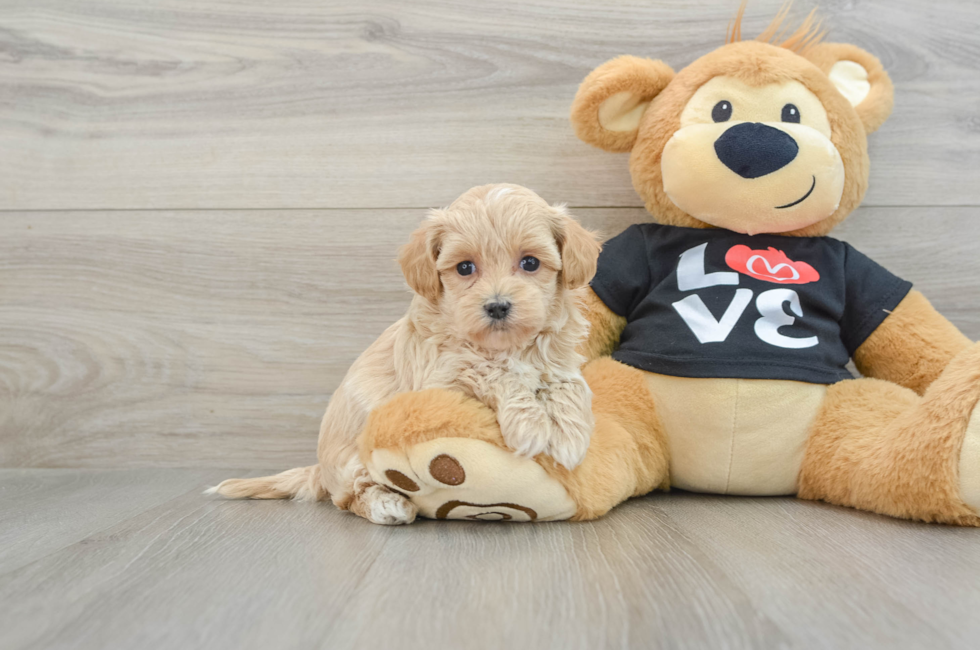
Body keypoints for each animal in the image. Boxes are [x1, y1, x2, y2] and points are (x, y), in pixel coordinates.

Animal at [211, 182, 600, 520]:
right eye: (465, 267)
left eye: (530, 263)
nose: (498, 306)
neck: (506, 347)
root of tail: (320, 470)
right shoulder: (439, 380)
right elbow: (489, 370)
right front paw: (530, 425)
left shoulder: (559, 361)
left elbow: (571, 385)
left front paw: (570, 434)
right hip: (356, 463)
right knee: (349, 498)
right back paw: (387, 505)